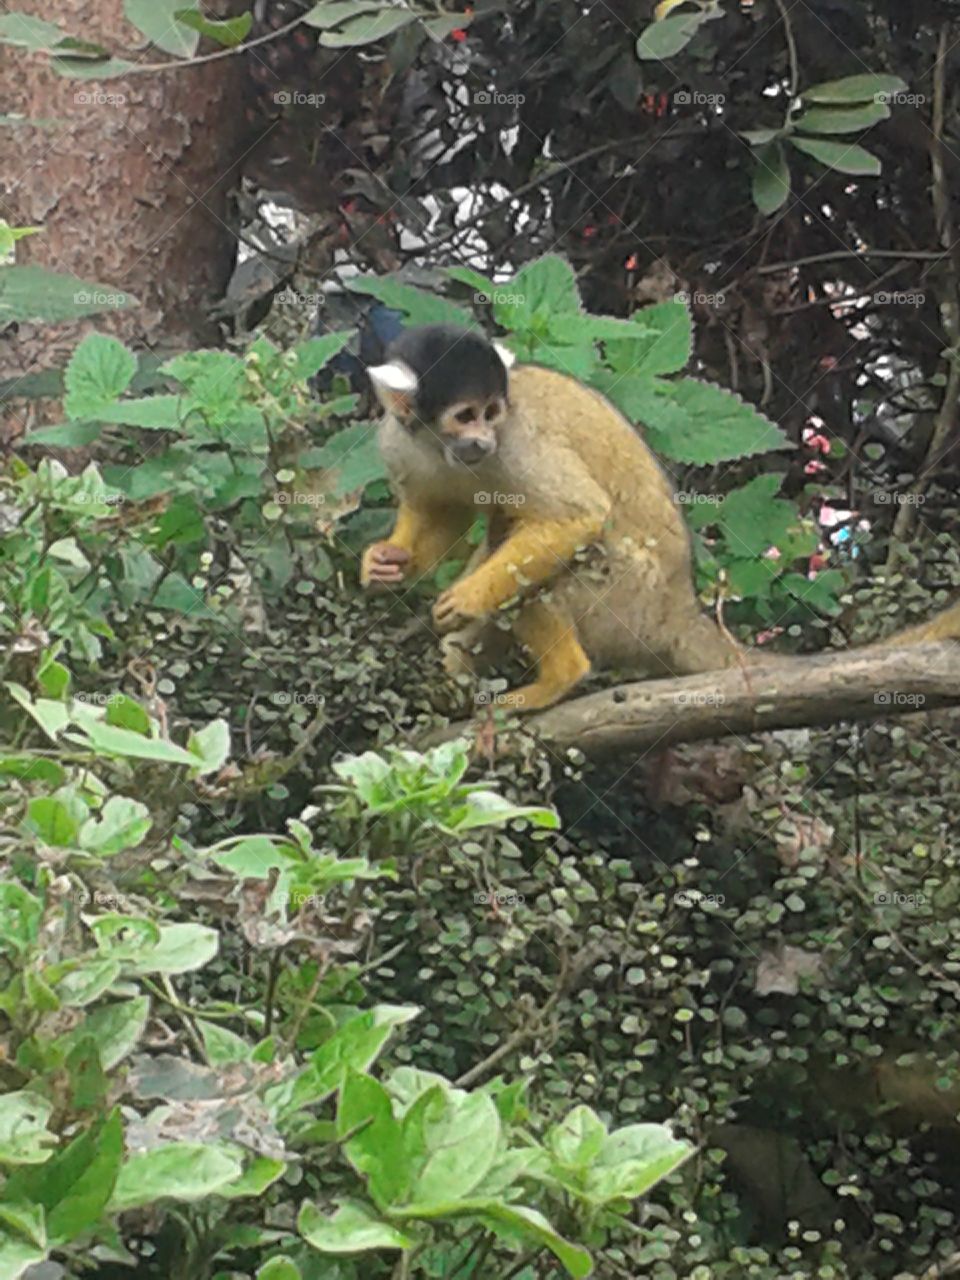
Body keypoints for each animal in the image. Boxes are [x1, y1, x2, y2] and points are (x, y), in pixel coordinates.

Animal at [360, 324, 960, 712]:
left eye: (491, 413)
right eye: (465, 416)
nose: (483, 439)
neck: (442, 447)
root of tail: (679, 608)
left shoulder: (518, 440)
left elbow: (579, 517)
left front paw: (465, 597)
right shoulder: (397, 441)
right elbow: (440, 512)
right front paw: (387, 563)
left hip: (626, 600)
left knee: (556, 566)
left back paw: (560, 678)